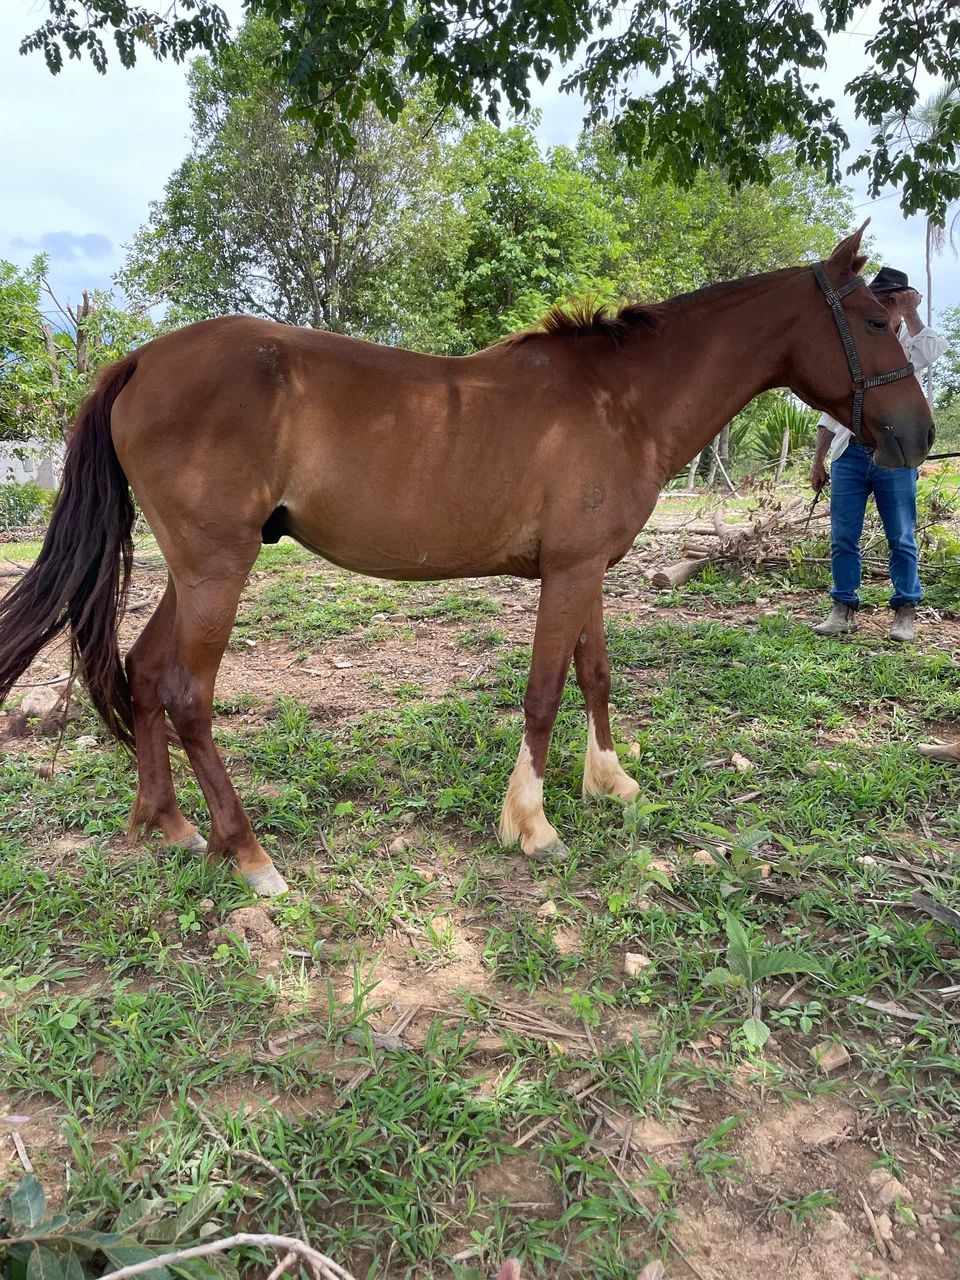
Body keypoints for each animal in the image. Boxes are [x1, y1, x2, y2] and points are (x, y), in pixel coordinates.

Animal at [0, 225, 934, 895]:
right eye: (877, 323)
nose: (919, 438)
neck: (622, 399)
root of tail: (142, 359)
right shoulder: (568, 576)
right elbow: (545, 692)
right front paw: (533, 824)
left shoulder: (588, 571)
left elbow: (595, 675)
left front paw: (611, 782)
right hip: (215, 571)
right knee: (187, 694)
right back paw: (250, 854)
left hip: (195, 571)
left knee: (143, 671)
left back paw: (168, 825)